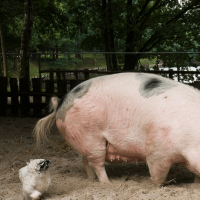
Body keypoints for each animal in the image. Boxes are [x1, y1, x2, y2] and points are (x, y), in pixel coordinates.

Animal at [34, 72, 200, 187]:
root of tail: (61, 101)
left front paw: (195, 186)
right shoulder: (158, 152)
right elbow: (158, 175)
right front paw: (159, 187)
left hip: (84, 140)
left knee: (85, 160)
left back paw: (91, 181)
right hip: (91, 138)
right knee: (97, 164)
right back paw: (108, 184)